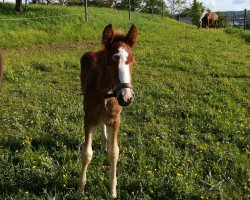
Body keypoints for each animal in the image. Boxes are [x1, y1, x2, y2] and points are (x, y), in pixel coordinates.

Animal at [78, 23, 138, 198]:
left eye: (132, 61)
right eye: (109, 63)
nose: (126, 97)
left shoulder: (115, 119)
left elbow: (114, 152)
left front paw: (112, 191)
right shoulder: (88, 118)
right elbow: (87, 153)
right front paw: (80, 188)